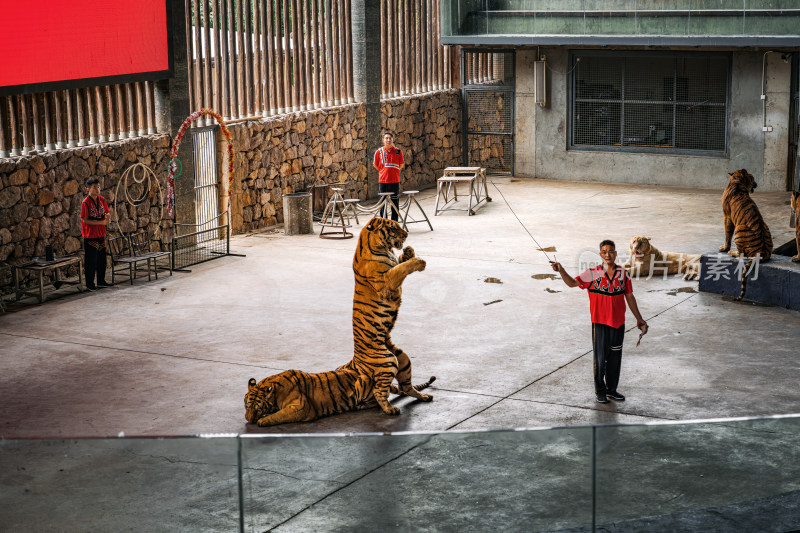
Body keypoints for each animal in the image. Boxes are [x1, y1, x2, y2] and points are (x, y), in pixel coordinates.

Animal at [247, 216, 434, 424]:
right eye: (394, 228)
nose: (406, 234)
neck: (380, 247)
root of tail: (356, 364)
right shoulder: (387, 281)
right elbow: (402, 268)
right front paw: (419, 261)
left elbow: (401, 261)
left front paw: (409, 251)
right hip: (388, 361)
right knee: (380, 392)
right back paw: (391, 409)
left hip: (403, 358)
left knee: (406, 387)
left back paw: (424, 396)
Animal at [720, 168, 772, 300]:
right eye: (752, 177)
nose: (757, 184)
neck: (737, 180)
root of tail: (762, 251)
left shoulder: (727, 217)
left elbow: (727, 235)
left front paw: (724, 248)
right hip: (765, 226)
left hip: (739, 229)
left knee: (741, 254)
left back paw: (731, 252)